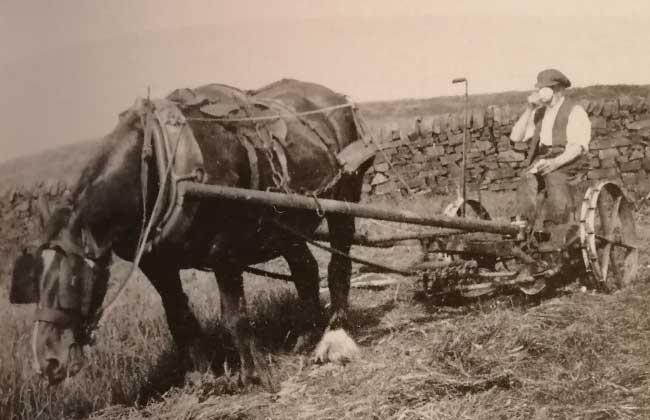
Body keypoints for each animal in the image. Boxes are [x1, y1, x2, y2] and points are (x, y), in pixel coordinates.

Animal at [8, 77, 374, 388]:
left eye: (73, 279)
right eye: (33, 280)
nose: (47, 361)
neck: (162, 166)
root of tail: (334, 97)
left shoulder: (225, 251)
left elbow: (235, 316)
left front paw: (254, 375)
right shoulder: (157, 264)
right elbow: (179, 318)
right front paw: (203, 377)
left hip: (344, 200)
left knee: (338, 265)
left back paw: (335, 334)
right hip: (287, 222)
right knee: (306, 270)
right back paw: (306, 334)